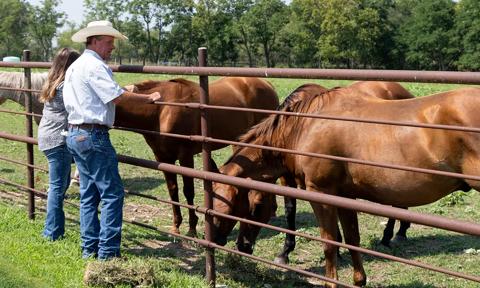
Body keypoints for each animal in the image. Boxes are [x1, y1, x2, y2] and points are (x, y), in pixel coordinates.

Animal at [115, 77, 280, 236]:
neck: (162, 111)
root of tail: (267, 83)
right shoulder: (163, 158)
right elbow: (172, 190)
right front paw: (176, 227)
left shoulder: (186, 156)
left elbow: (188, 191)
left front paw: (192, 228)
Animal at [212, 85, 474, 286]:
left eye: (254, 206)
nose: (237, 245)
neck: (304, 125)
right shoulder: (345, 196)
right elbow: (352, 240)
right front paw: (358, 281)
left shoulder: (321, 193)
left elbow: (330, 243)